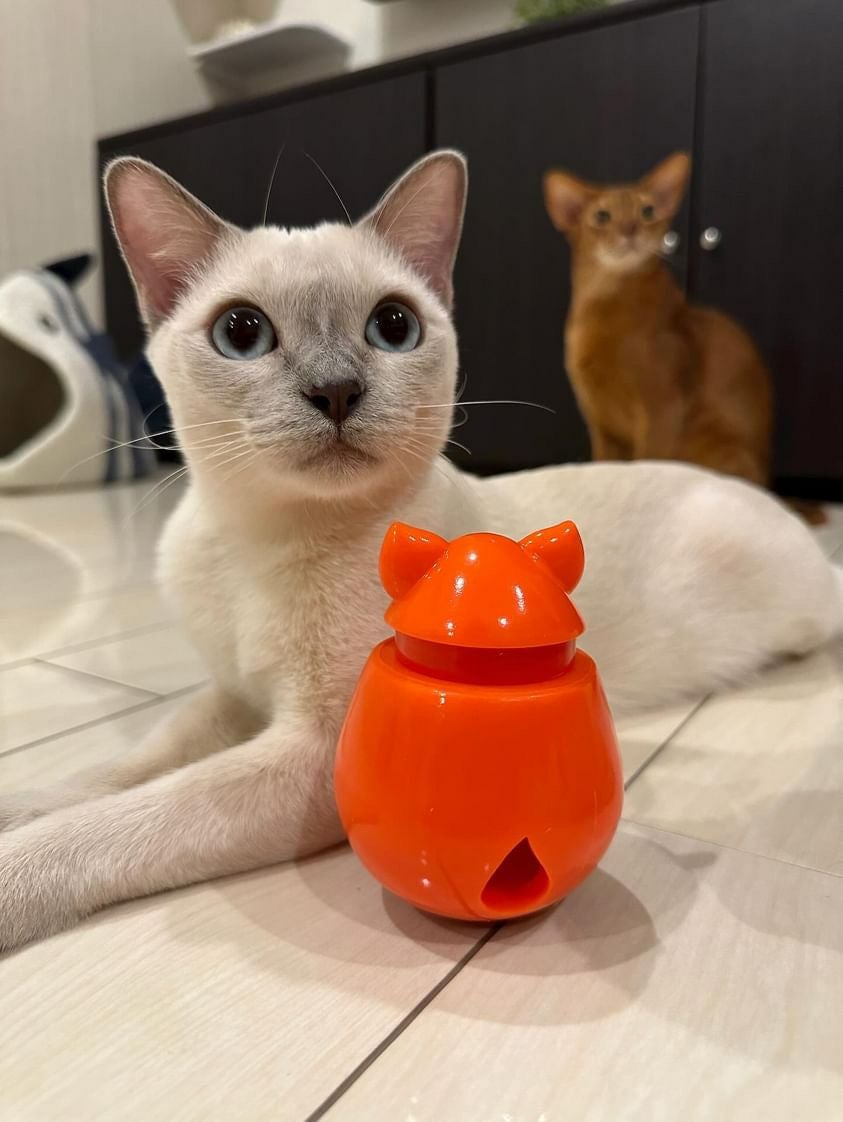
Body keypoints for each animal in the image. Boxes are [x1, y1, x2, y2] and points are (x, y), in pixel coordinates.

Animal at [543, 154, 824, 524]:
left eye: (647, 211)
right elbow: (605, 466)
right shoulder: (600, 422)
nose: (630, 230)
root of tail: (773, 491)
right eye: (602, 216)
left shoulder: (663, 408)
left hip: (716, 448)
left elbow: (645, 466)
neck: (603, 300)